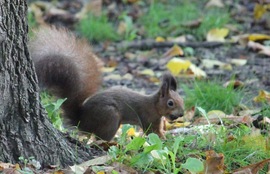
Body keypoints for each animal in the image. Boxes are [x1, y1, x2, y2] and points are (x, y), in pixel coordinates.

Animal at [30, 26, 186, 141]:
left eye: (182, 100)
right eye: (170, 103)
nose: (182, 114)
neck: (154, 105)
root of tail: (82, 121)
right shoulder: (148, 118)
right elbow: (152, 132)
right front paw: (164, 139)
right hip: (110, 117)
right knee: (100, 139)